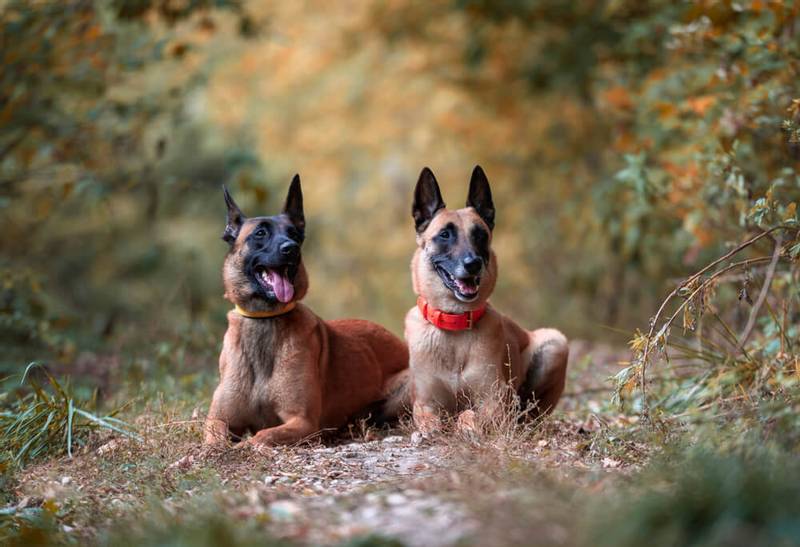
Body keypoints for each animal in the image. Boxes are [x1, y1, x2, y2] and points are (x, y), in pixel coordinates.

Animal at [203, 178, 410, 448]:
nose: (291, 248)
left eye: (293, 234)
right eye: (260, 233)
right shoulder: (219, 420)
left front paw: (242, 448)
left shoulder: (302, 422)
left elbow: (260, 436)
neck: (265, 319)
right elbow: (214, 442)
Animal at [406, 165, 568, 434]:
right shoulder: (425, 404)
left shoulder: (493, 401)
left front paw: (465, 425)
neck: (455, 324)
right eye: (445, 234)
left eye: (480, 235)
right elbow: (432, 423)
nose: (473, 264)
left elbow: (469, 414)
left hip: (555, 342)